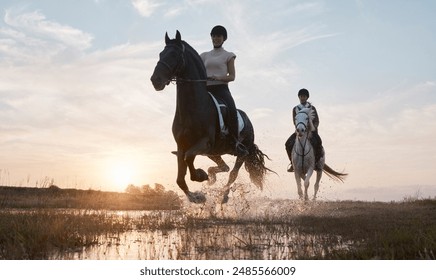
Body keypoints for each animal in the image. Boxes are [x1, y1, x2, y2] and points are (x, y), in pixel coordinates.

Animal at [152, 31, 270, 203]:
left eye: (174, 54)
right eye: (161, 54)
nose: (155, 80)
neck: (192, 109)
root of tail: (248, 120)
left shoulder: (204, 144)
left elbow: (189, 159)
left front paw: (200, 176)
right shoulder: (181, 147)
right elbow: (180, 178)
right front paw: (196, 196)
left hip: (241, 152)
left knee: (232, 173)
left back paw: (223, 196)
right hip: (215, 153)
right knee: (224, 167)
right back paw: (212, 177)